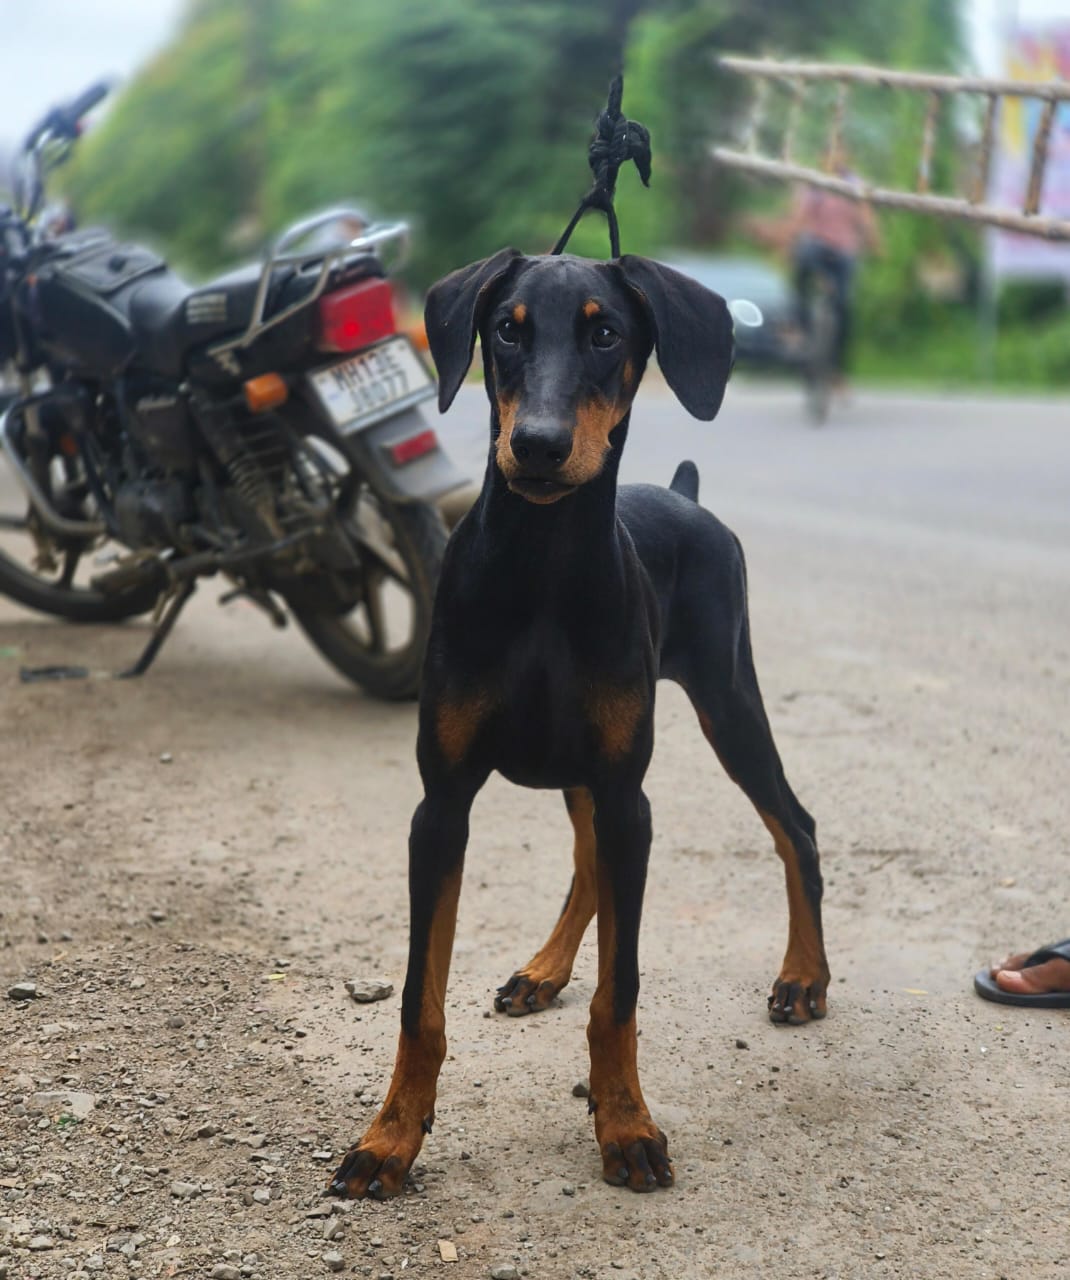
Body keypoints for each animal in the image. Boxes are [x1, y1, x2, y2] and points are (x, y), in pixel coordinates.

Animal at [330, 249, 829, 1198]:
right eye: (506, 329)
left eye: (606, 334)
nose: (538, 446)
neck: (543, 568)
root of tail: (685, 496)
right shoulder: (440, 804)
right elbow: (418, 999)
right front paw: (390, 1138)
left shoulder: (629, 791)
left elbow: (620, 991)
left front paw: (625, 1123)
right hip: (584, 766)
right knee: (590, 862)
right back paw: (542, 972)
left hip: (725, 700)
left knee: (795, 825)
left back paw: (803, 978)